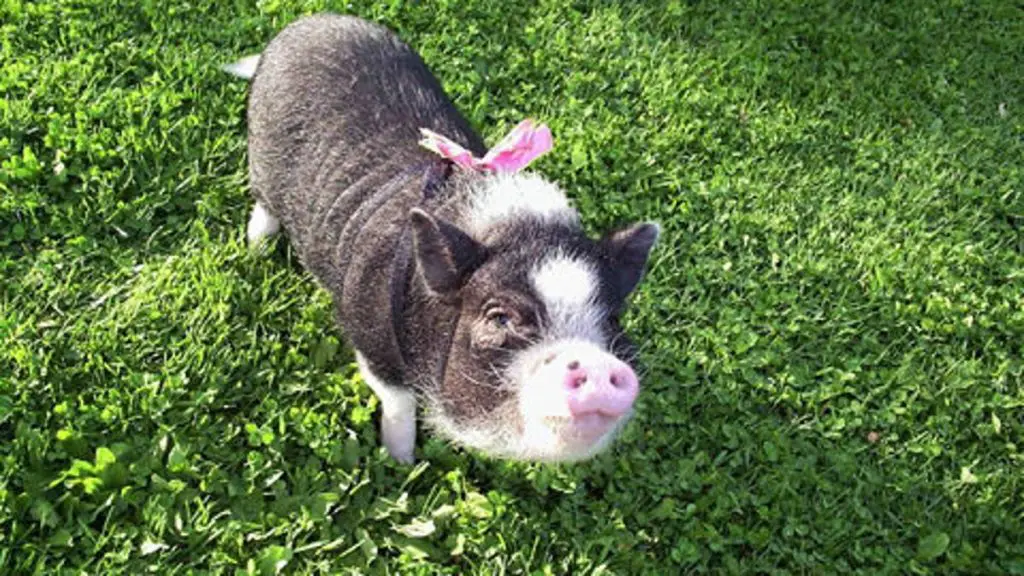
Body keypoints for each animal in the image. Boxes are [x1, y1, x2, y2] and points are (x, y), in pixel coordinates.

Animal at [221, 13, 659, 461]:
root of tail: (302, 27)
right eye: (499, 316)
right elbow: (398, 403)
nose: (596, 364)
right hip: (260, 159)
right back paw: (256, 250)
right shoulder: (370, 336)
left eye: (612, 318)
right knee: (263, 205)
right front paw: (402, 461)